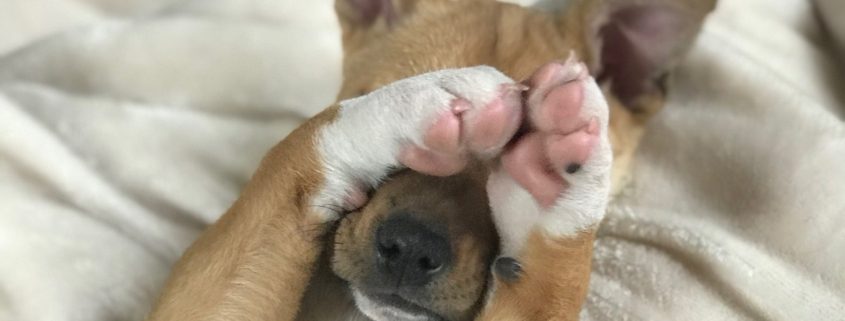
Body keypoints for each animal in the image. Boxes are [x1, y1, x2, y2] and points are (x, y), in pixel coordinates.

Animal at [145, 0, 712, 320]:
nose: (409, 249)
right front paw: (412, 107)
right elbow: (296, 148)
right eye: (369, 91)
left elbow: (552, 289)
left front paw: (554, 187)